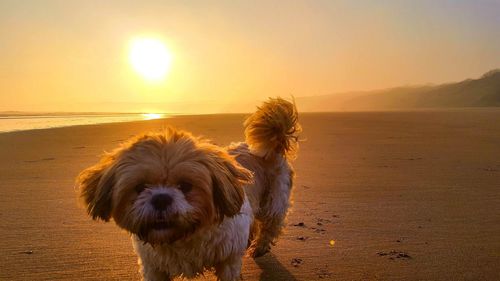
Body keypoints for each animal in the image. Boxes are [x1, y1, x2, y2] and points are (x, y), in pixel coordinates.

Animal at [75, 97, 300, 280]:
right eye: (140, 187)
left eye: (185, 186)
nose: (161, 198)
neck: (183, 236)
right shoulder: (154, 268)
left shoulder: (228, 260)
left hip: (275, 199)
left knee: (271, 224)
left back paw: (260, 247)